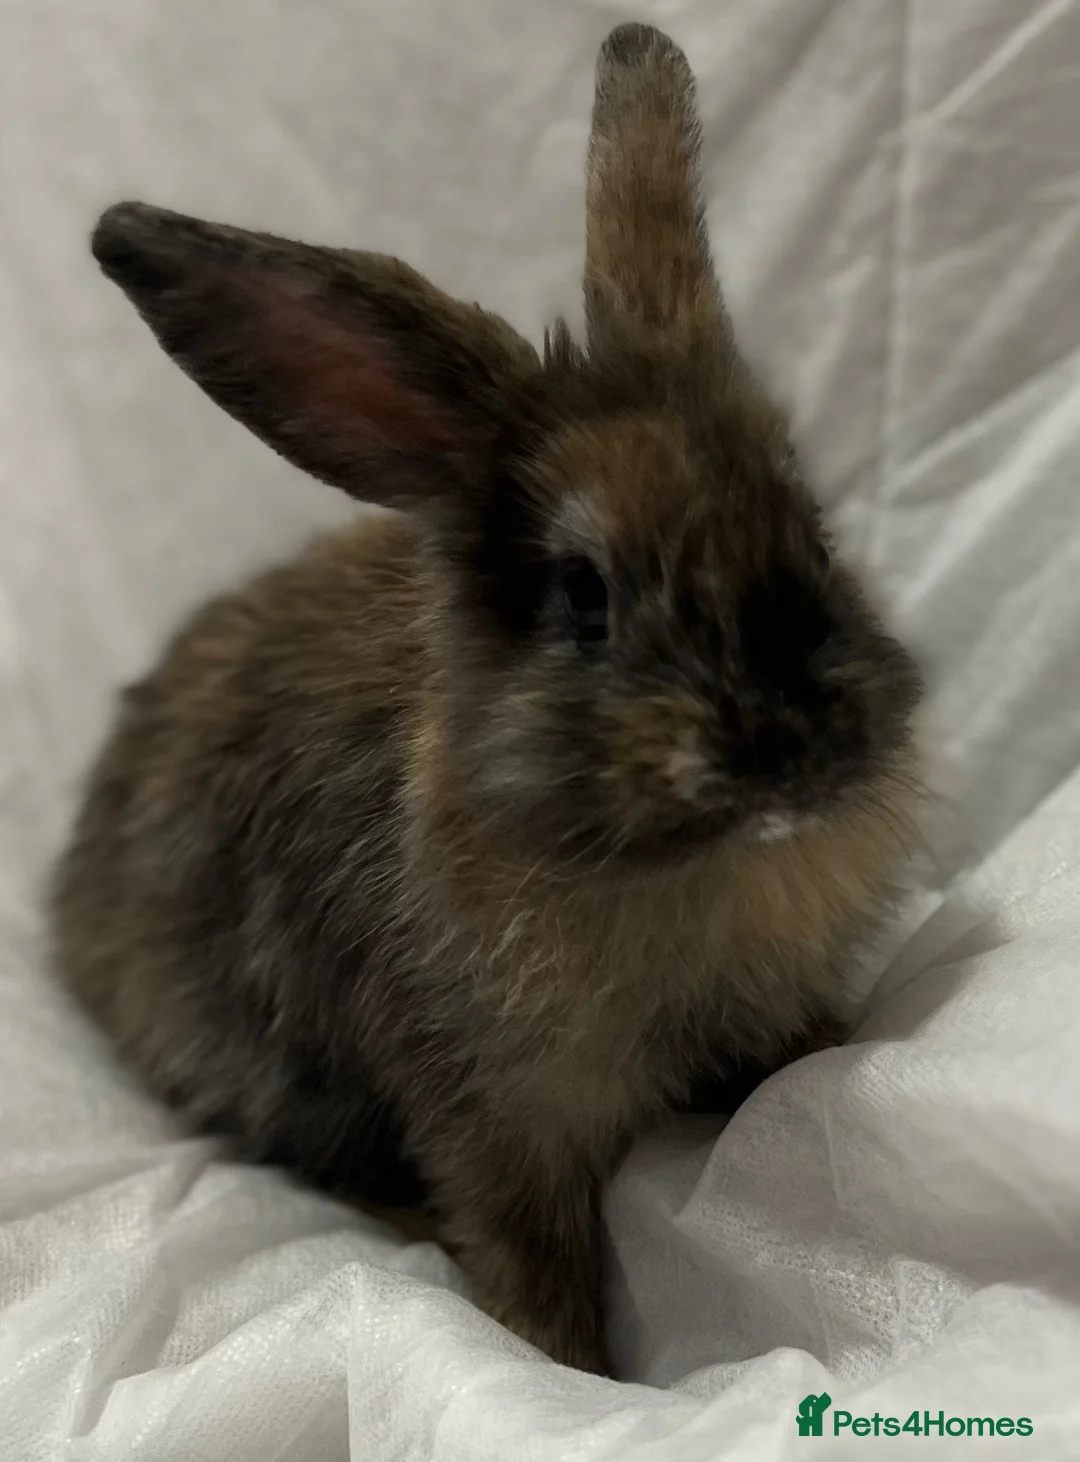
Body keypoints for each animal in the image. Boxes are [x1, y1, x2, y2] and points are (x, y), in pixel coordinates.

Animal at [50, 22, 922, 1376]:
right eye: (583, 596)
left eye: (817, 539)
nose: (788, 760)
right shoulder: (491, 1117)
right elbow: (531, 1255)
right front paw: (581, 1373)